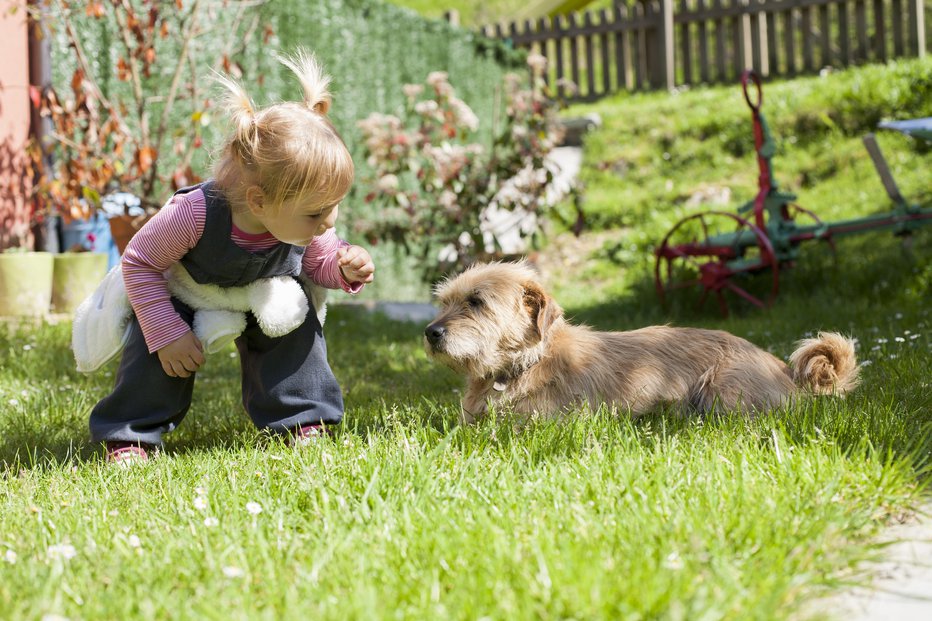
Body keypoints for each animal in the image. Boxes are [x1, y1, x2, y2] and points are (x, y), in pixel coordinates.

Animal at [424, 262, 860, 422]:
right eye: (444, 301)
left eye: (476, 302)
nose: (431, 332)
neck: (524, 364)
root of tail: (787, 371)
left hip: (724, 391)